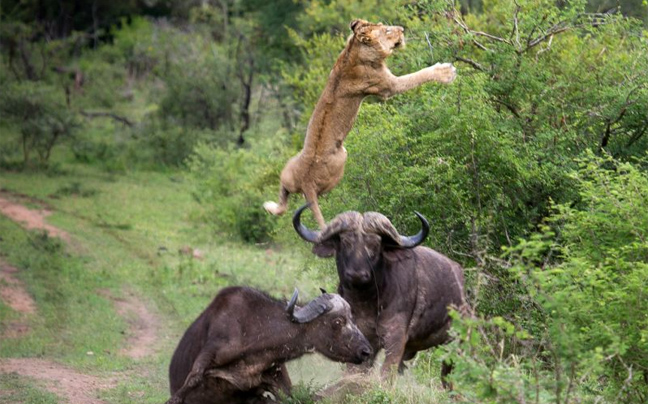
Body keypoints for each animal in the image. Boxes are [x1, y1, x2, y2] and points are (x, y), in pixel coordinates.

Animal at [165, 286, 372, 402]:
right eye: (337, 322)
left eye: (352, 317)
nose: (366, 351)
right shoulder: (210, 352)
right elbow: (192, 380)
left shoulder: (277, 380)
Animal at [292, 205, 466, 386]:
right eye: (346, 242)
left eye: (374, 245)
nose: (357, 274)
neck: (368, 302)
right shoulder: (363, 339)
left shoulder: (396, 338)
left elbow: (386, 374)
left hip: (454, 344)